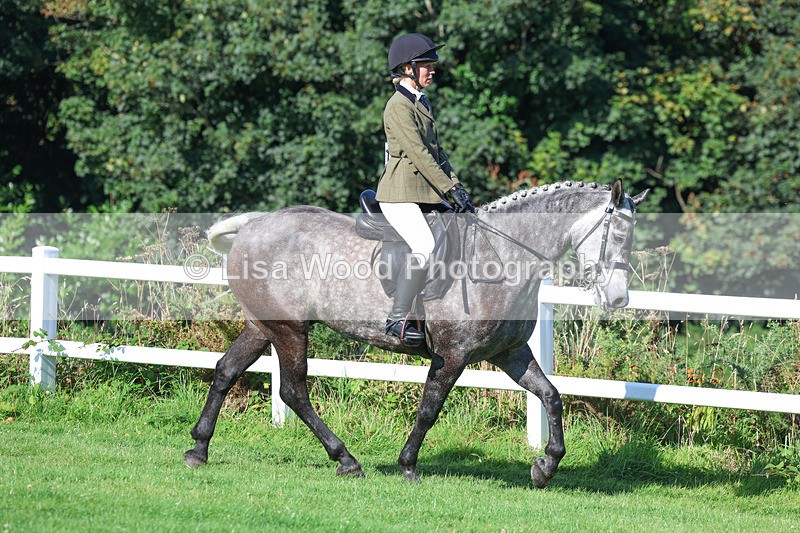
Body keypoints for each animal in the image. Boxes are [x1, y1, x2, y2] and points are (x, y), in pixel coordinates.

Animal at [184, 179, 648, 488]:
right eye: (618, 235)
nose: (618, 299)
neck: (502, 256)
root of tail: (254, 225)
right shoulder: (452, 355)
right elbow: (429, 409)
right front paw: (408, 465)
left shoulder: (511, 353)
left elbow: (551, 396)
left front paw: (545, 467)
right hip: (289, 329)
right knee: (293, 390)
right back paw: (346, 459)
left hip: (262, 326)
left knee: (226, 371)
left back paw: (198, 449)